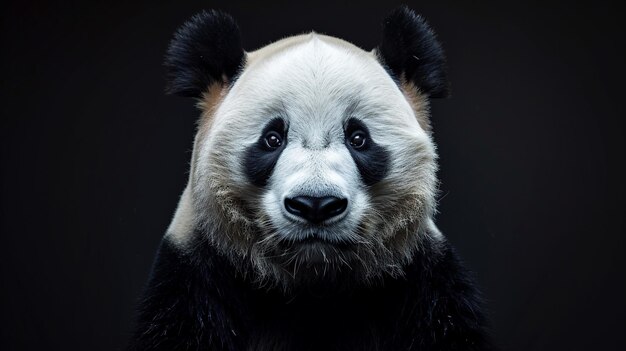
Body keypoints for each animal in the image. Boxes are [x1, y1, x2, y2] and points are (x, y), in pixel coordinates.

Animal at [129, 6, 492, 351]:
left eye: (358, 138)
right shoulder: (193, 281)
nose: (315, 205)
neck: (313, 280)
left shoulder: (424, 285)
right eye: (272, 138)